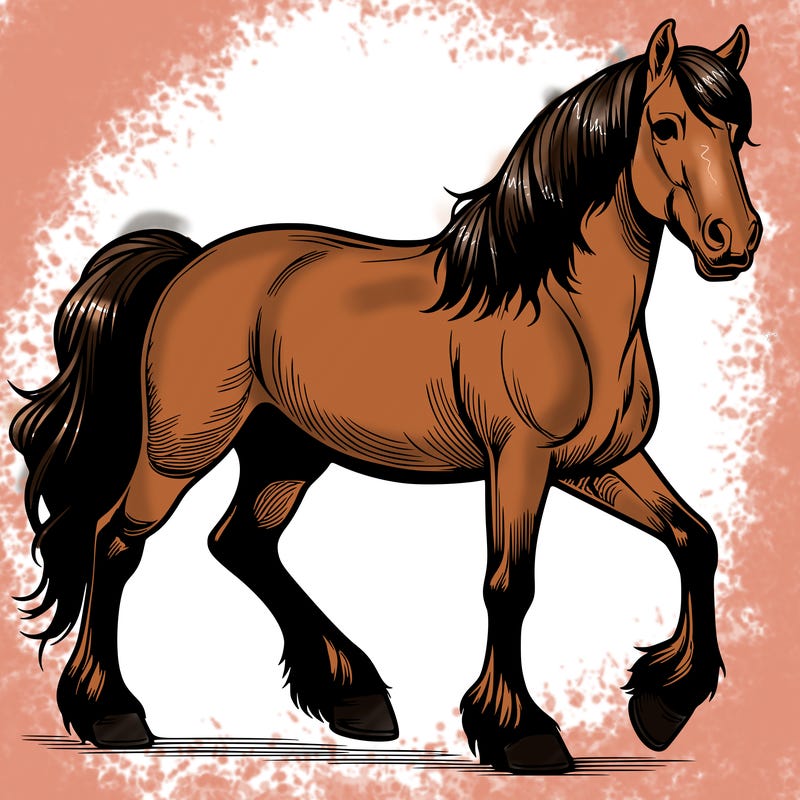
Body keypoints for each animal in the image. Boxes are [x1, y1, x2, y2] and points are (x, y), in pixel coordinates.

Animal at [10, 19, 761, 773]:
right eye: (665, 125)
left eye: (739, 132)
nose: (736, 240)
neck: (558, 307)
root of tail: (188, 264)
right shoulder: (520, 461)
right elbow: (509, 585)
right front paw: (521, 733)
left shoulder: (598, 463)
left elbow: (695, 539)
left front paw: (663, 704)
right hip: (181, 448)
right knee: (115, 542)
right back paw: (112, 715)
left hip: (286, 451)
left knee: (241, 542)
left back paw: (355, 697)